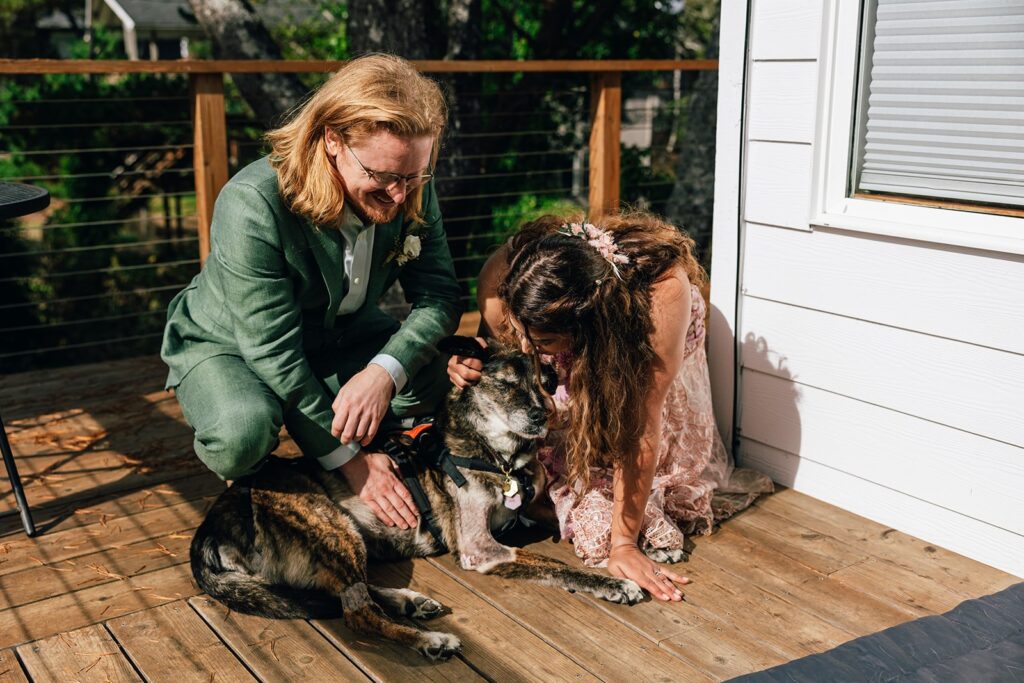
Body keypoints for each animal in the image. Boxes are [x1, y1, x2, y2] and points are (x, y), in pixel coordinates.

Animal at [190, 344, 638, 659]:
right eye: (508, 383)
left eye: (546, 383)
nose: (541, 415)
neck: (501, 456)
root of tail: (213, 522)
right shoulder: (480, 548)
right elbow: (551, 564)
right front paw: (615, 583)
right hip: (331, 528)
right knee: (357, 613)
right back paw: (430, 640)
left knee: (351, 591)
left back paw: (411, 602)